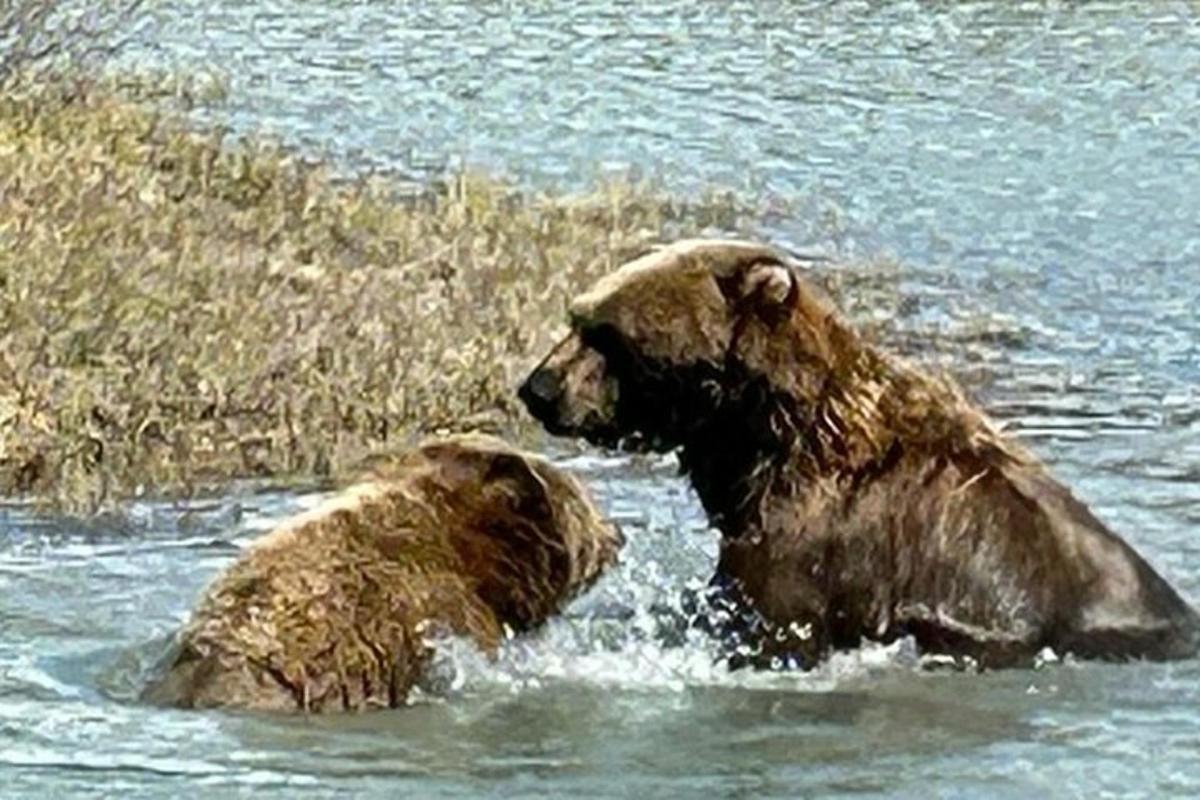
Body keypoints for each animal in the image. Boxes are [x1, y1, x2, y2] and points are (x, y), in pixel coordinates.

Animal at [523, 237, 1200, 671]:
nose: (538, 389)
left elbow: (770, 622)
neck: (763, 445)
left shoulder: (814, 544)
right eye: (577, 316)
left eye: (606, 334)